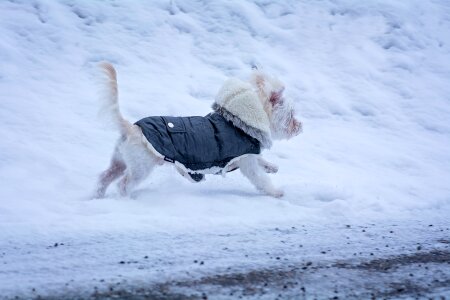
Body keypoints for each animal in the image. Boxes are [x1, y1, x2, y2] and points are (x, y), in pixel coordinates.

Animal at [93, 62, 300, 199]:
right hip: (140, 167)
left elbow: (261, 161)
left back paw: (97, 195)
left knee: (104, 176)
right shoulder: (246, 161)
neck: (239, 122)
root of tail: (131, 127)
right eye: (291, 116)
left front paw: (271, 166)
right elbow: (260, 178)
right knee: (123, 184)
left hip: (120, 161)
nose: (299, 127)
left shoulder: (247, 156)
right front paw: (276, 191)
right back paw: (126, 197)